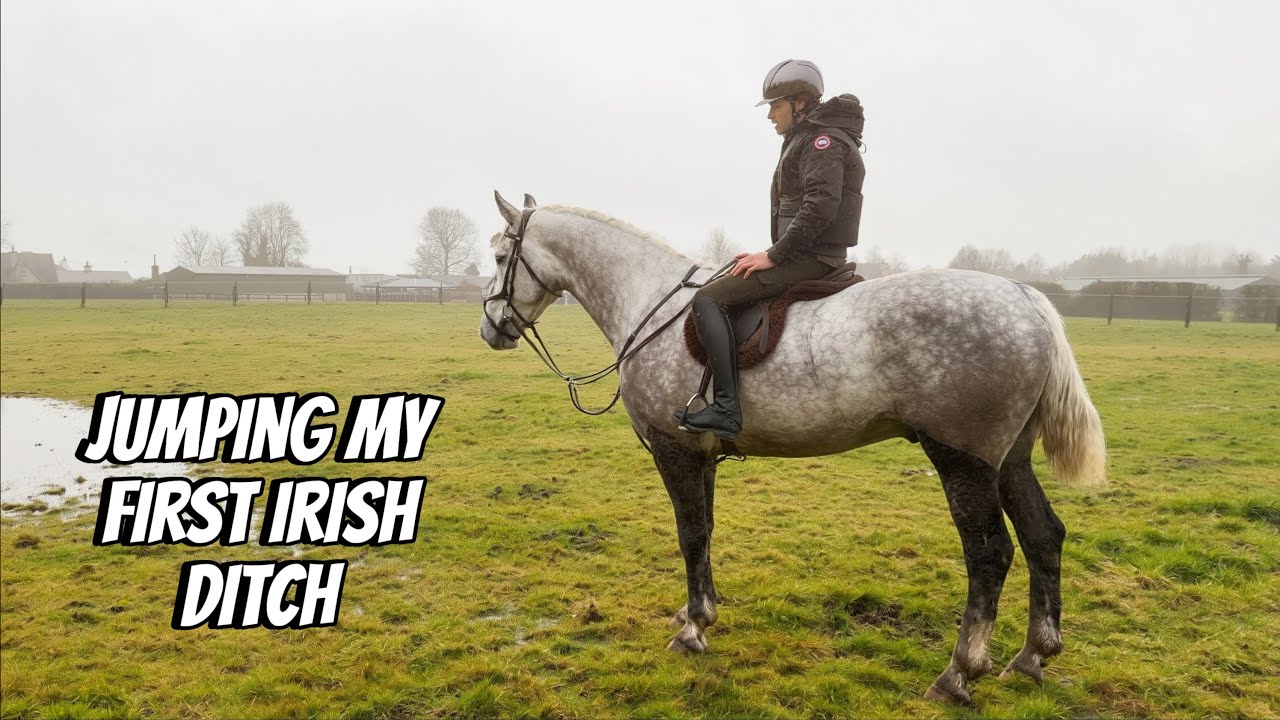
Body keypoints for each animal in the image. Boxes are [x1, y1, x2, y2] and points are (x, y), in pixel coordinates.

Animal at [478, 192, 1106, 703]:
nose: (489, 329)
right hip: (1009, 460)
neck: (652, 304)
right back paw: (1032, 657)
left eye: (499, 257)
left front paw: (693, 630)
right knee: (1044, 535)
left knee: (990, 554)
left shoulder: (673, 450)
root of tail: (1023, 299)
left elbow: (689, 534)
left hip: (964, 460)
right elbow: (705, 532)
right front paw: (700, 610)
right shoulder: (702, 457)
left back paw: (958, 674)